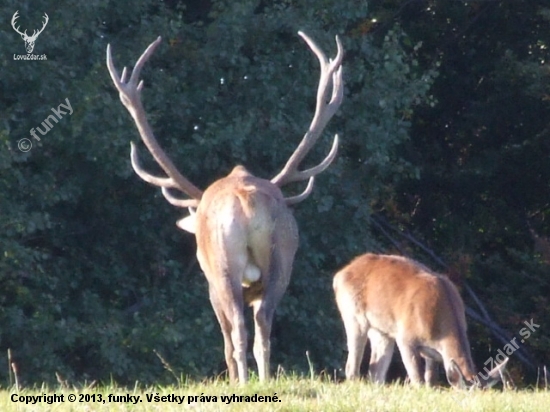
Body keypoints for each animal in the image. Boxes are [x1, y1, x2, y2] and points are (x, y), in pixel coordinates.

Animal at [105, 33, 342, 384]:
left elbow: (227, 343)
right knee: (263, 325)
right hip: (282, 261)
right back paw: (264, 379)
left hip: (222, 267)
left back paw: (242, 381)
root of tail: (246, 201)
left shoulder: (211, 287)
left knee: (240, 332)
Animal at [332, 253, 508, 388]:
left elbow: (431, 379)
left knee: (375, 370)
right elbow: (418, 378)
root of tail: (338, 276)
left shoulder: (434, 353)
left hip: (382, 331)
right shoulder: (405, 337)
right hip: (354, 317)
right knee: (352, 366)